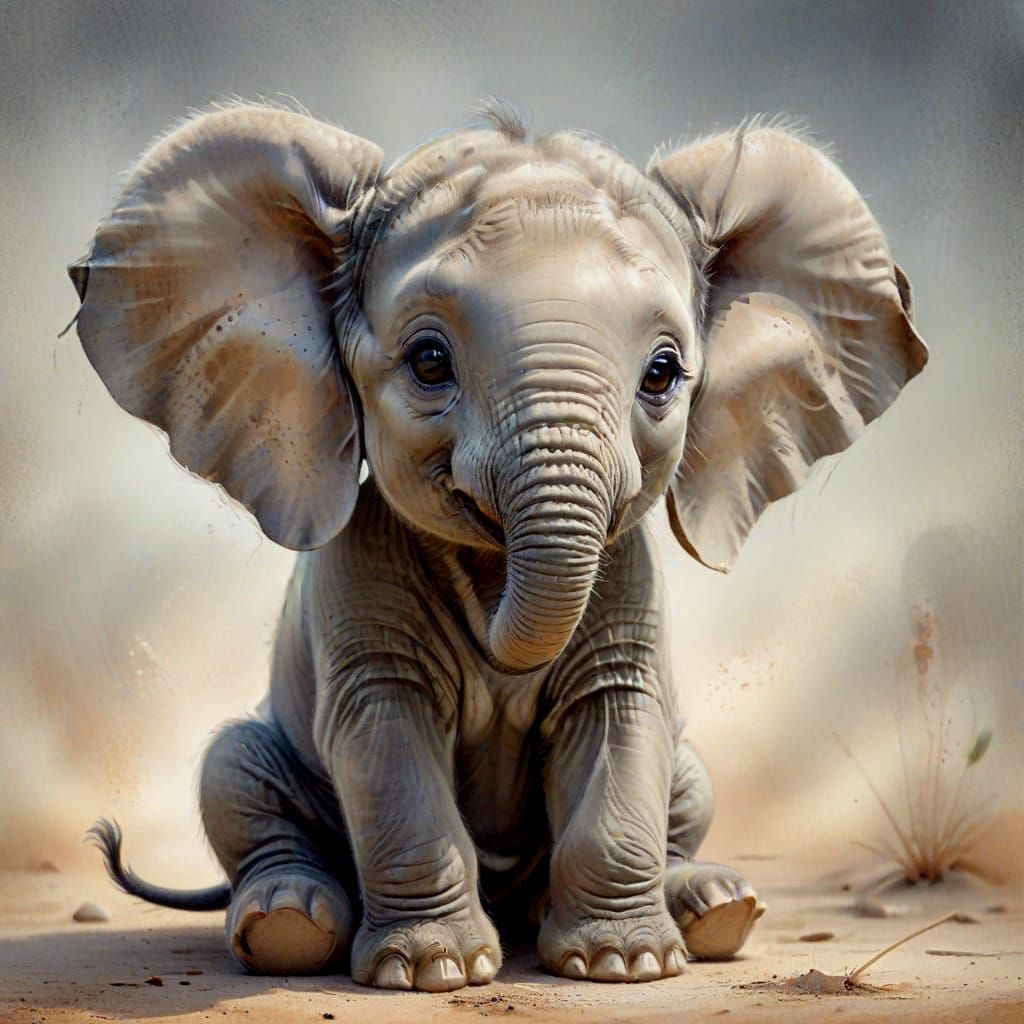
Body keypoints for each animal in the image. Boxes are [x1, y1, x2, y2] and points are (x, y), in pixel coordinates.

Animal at [72, 101, 926, 991]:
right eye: (428, 361)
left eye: (661, 374)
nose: (495, 641)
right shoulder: (360, 571)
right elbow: (385, 733)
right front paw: (434, 973)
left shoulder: (628, 574)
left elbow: (621, 714)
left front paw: (626, 963)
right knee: (232, 770)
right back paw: (288, 923)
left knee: (690, 776)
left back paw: (713, 908)